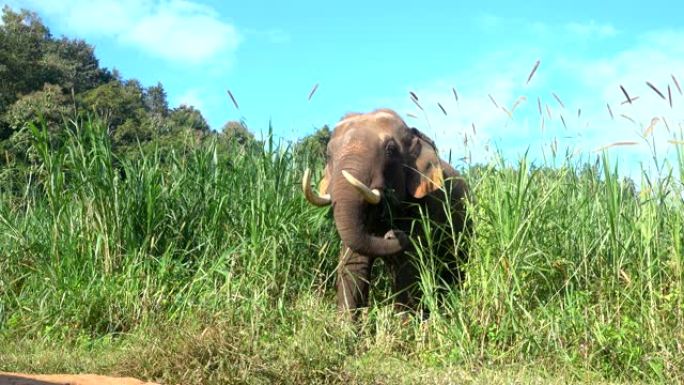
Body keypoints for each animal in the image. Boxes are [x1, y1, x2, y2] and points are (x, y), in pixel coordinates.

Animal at [304, 106, 470, 314]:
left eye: (390, 150)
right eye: (328, 156)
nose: (392, 234)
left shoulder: (425, 206)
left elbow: (408, 266)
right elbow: (354, 264)